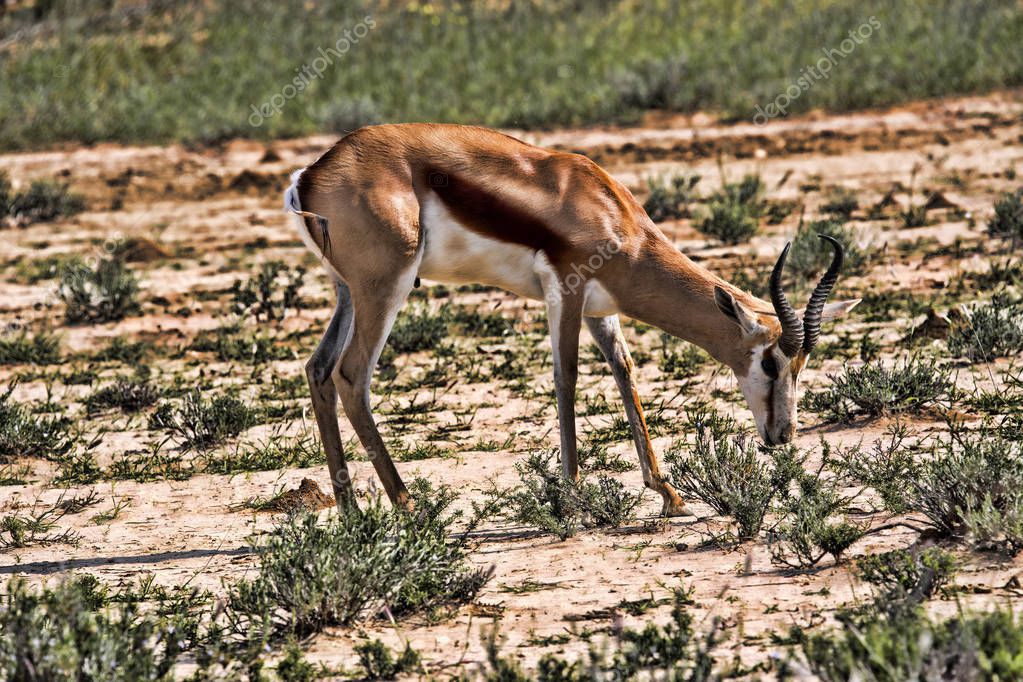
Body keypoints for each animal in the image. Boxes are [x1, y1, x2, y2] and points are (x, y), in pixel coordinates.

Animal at [284, 124, 859, 517]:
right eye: (770, 363)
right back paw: (407, 506)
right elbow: (568, 378)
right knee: (352, 375)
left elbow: (625, 374)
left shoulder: (602, 310)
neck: (614, 215)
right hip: (387, 287)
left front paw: (667, 492)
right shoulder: (567, 288)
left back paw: (353, 512)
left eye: (802, 366)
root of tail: (311, 174)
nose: (782, 435)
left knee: (318, 369)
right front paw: (572, 491)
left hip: (348, 292)